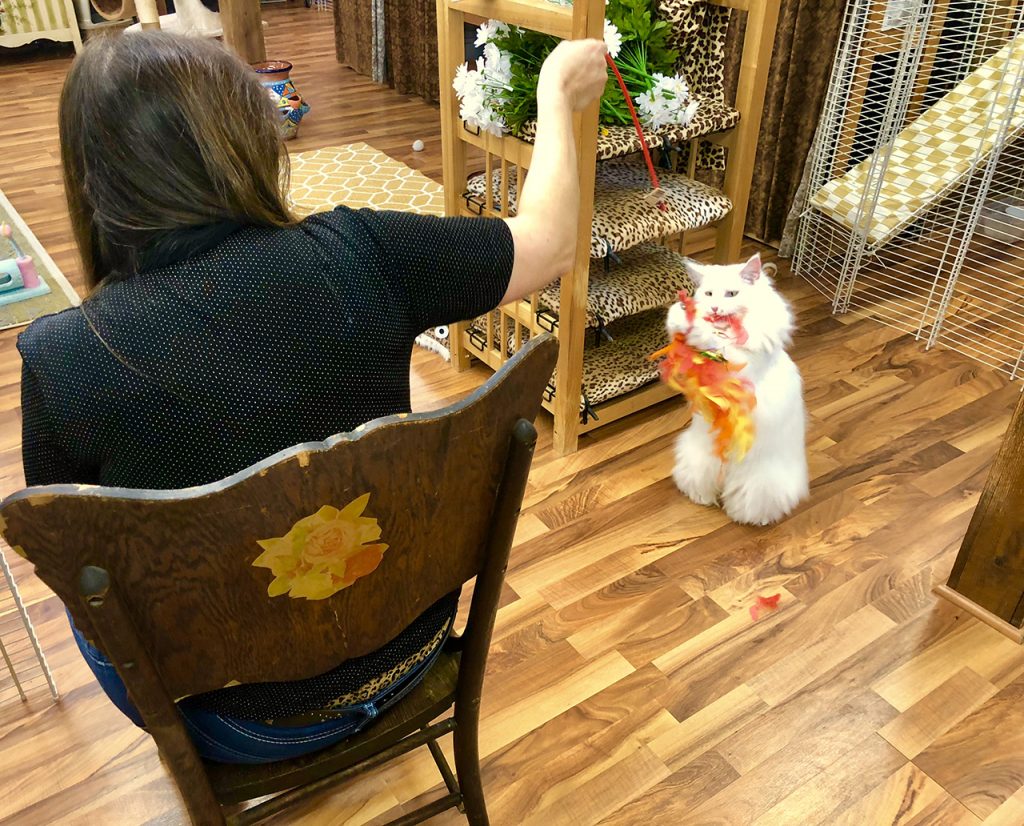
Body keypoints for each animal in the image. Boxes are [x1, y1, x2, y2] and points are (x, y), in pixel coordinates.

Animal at [667, 251, 811, 528]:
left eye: (731, 294)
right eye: (709, 294)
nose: (714, 308)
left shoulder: (739, 368)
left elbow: (718, 345)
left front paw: (696, 326)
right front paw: (680, 316)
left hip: (760, 482)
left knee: (745, 501)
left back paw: (748, 517)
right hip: (697, 457)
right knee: (705, 487)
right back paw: (703, 497)